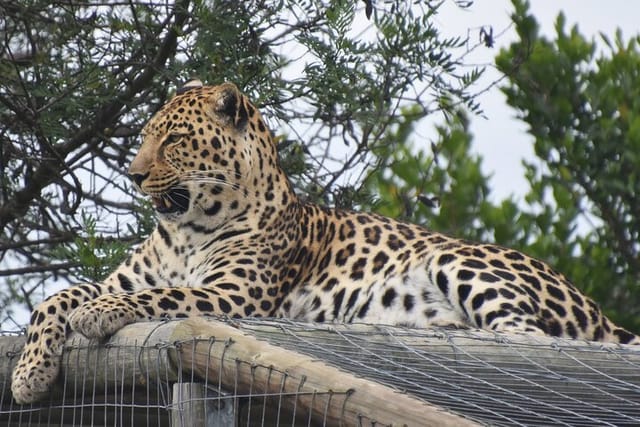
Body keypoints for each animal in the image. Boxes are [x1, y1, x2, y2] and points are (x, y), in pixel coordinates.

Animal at [11, 80, 640, 404]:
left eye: (175, 140)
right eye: (144, 137)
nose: (134, 174)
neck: (186, 229)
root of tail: (597, 309)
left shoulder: (232, 297)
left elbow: (153, 299)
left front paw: (97, 316)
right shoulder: (128, 275)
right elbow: (56, 297)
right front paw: (28, 374)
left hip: (459, 258)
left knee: (526, 339)